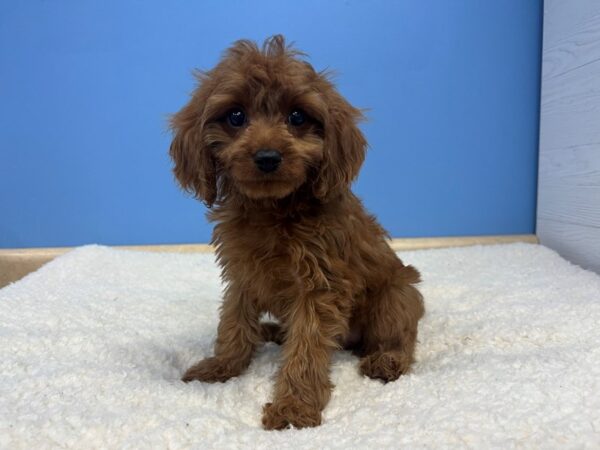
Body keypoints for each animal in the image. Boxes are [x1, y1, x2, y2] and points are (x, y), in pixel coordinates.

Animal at [168, 35, 422, 428]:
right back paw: (272, 331)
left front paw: (294, 407)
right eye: (236, 116)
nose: (267, 157)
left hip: (397, 294)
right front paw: (222, 365)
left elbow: (306, 347)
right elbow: (233, 321)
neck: (272, 209)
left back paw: (387, 360)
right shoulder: (243, 274)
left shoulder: (320, 286)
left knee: (400, 338)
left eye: (297, 117)